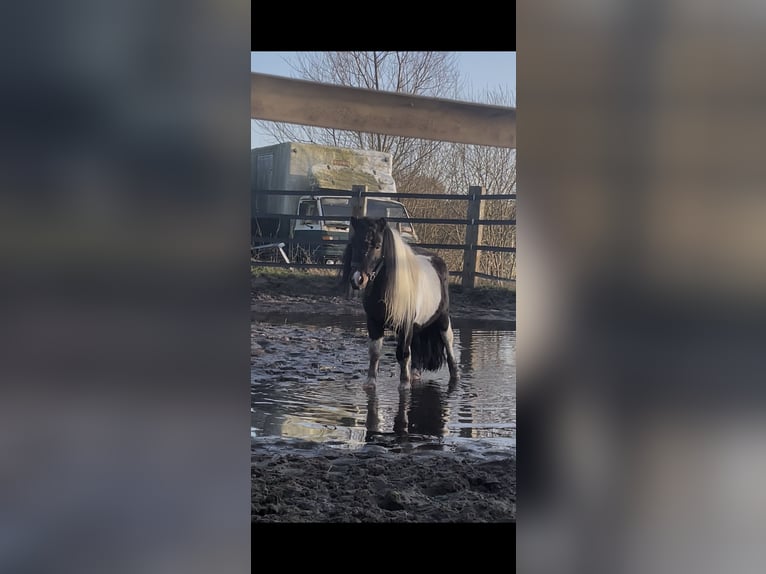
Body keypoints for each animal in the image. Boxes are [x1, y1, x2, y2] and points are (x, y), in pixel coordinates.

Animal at [340, 216, 459, 390]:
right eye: (354, 244)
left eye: (378, 246)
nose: (358, 279)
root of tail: (437, 261)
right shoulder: (374, 322)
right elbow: (375, 352)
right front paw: (370, 381)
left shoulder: (405, 324)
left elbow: (402, 353)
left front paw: (404, 383)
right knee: (416, 347)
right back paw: (415, 374)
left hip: (442, 319)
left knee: (448, 344)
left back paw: (454, 376)